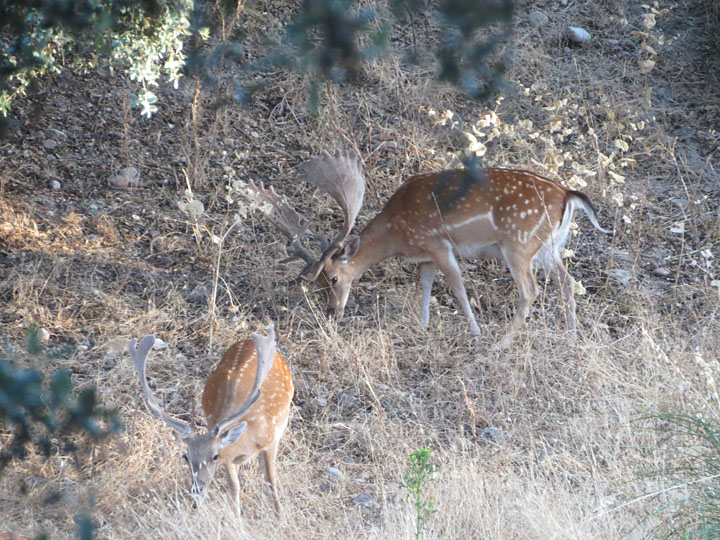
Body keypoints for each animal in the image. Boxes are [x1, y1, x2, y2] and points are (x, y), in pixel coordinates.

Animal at [127, 324, 292, 516]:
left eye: (214, 456)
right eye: (186, 456)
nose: (196, 490)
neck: (250, 436)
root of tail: (247, 340)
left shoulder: (271, 441)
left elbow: (271, 483)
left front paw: (280, 517)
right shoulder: (228, 455)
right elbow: (234, 486)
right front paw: (237, 519)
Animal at [246, 150, 608, 344]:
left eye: (333, 278)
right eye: (319, 284)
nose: (332, 312)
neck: (397, 233)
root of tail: (568, 195)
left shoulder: (439, 243)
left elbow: (457, 287)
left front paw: (475, 332)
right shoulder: (425, 256)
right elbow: (425, 286)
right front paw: (422, 326)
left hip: (518, 243)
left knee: (531, 291)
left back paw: (501, 344)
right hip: (549, 246)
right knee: (567, 281)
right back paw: (572, 337)